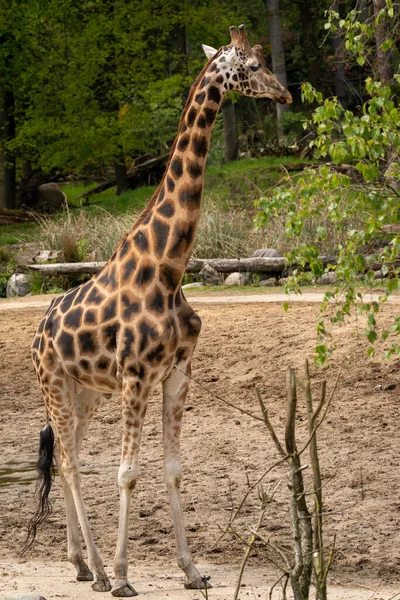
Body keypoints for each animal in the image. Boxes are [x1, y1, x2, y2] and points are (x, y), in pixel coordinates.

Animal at [28, 22, 290, 596]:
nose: (284, 94)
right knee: (72, 462)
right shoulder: (136, 375)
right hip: (55, 382)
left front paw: (191, 570)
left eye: (265, 61)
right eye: (251, 66)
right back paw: (101, 570)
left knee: (67, 454)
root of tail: (37, 332)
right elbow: (127, 471)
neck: (169, 269)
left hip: (85, 393)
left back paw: (82, 565)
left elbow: (172, 467)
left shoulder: (177, 371)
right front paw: (126, 575)